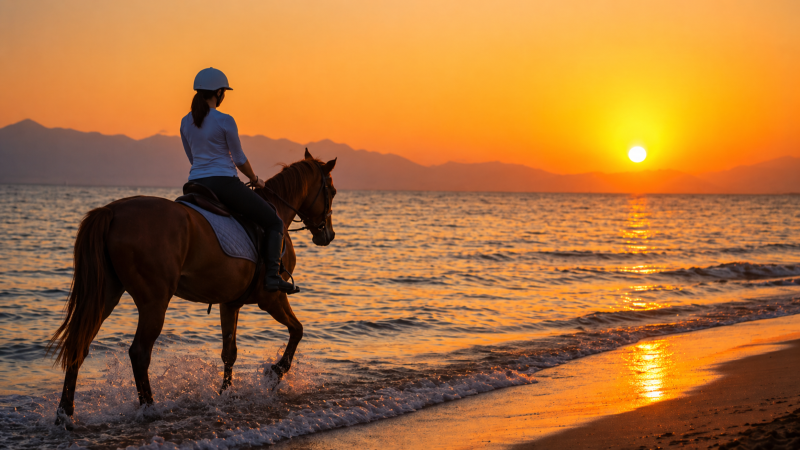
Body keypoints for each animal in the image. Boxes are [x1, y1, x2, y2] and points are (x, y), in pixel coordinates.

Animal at [48, 149, 337, 428]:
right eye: (332, 192)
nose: (328, 235)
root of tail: (112, 211)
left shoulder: (229, 303)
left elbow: (229, 353)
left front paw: (226, 395)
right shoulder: (272, 298)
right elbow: (297, 331)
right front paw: (274, 373)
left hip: (106, 295)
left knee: (80, 344)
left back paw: (65, 414)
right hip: (154, 301)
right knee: (139, 353)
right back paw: (149, 409)